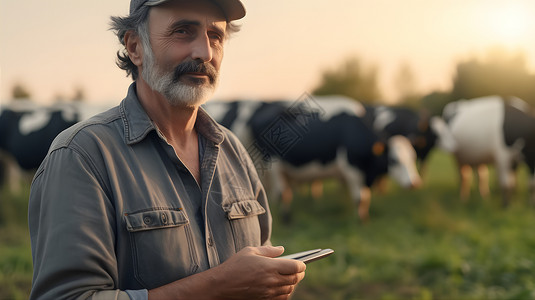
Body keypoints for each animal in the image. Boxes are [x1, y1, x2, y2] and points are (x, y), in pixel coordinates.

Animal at [203, 96, 420, 220]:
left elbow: (364, 198)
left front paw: (363, 218)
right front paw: (360, 221)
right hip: (274, 165)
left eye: (412, 157)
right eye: (394, 160)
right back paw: (287, 219)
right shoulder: (351, 170)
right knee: (283, 193)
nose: (414, 183)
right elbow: (360, 198)